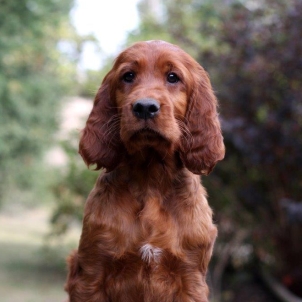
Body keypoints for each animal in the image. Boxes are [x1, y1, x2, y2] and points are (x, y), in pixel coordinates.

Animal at [65, 40, 224, 302]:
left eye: (173, 77)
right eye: (128, 76)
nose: (145, 107)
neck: (151, 178)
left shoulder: (191, 278)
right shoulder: (91, 274)